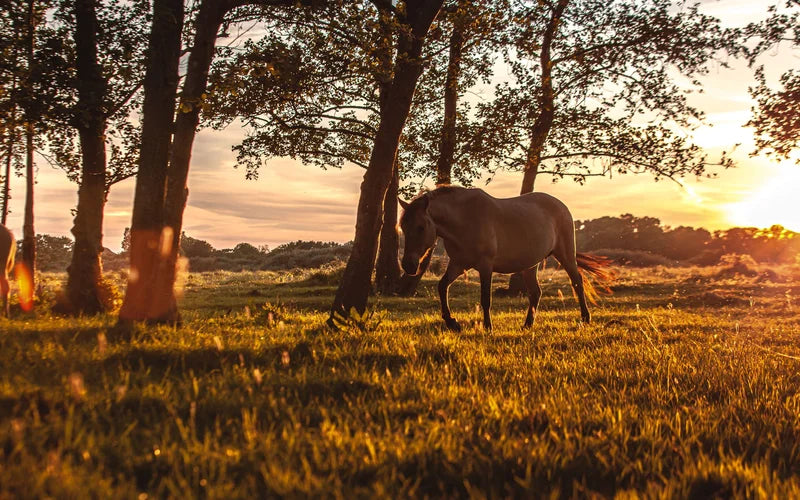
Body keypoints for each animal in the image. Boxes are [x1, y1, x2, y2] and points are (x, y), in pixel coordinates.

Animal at [398, 186, 612, 332]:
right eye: (403, 226)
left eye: (421, 227)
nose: (408, 265)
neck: (465, 219)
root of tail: (562, 206)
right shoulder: (458, 264)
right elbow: (442, 286)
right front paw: (452, 323)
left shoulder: (485, 266)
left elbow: (486, 299)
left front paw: (487, 327)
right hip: (530, 264)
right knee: (536, 292)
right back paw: (527, 325)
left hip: (565, 254)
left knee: (577, 282)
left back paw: (585, 318)